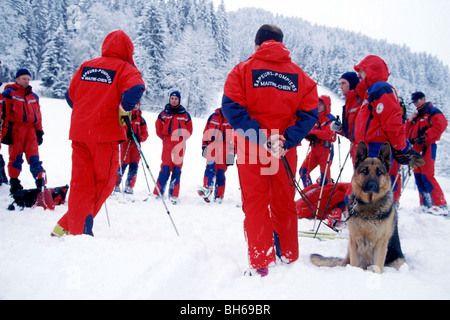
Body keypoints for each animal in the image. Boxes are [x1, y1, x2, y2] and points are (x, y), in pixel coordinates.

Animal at [312, 141, 406, 274]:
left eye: (379, 172)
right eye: (365, 171)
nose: (372, 186)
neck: (368, 205)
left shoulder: (381, 244)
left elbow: (377, 268)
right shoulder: (354, 241)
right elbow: (354, 264)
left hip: (398, 261)